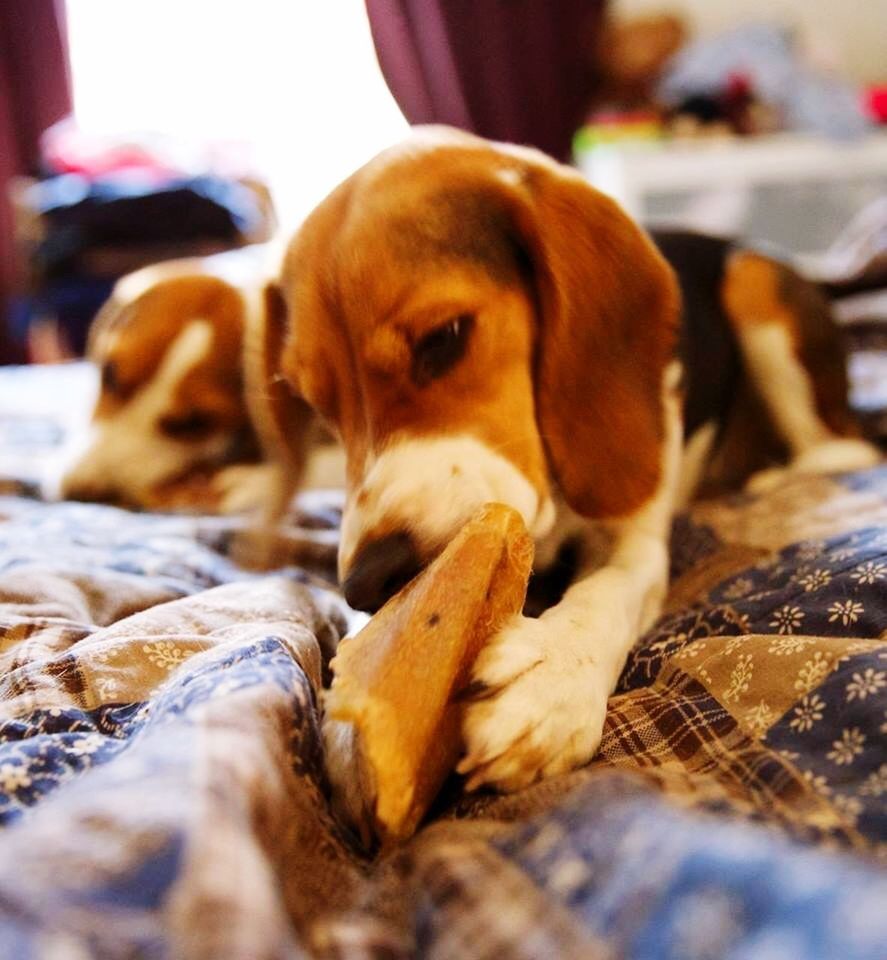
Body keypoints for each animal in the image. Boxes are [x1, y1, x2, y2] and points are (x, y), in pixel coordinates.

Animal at [276, 127, 880, 796]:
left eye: (443, 338)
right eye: (316, 406)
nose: (367, 580)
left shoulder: (635, 537)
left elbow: (606, 590)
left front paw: (552, 673)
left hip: (754, 289)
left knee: (847, 445)